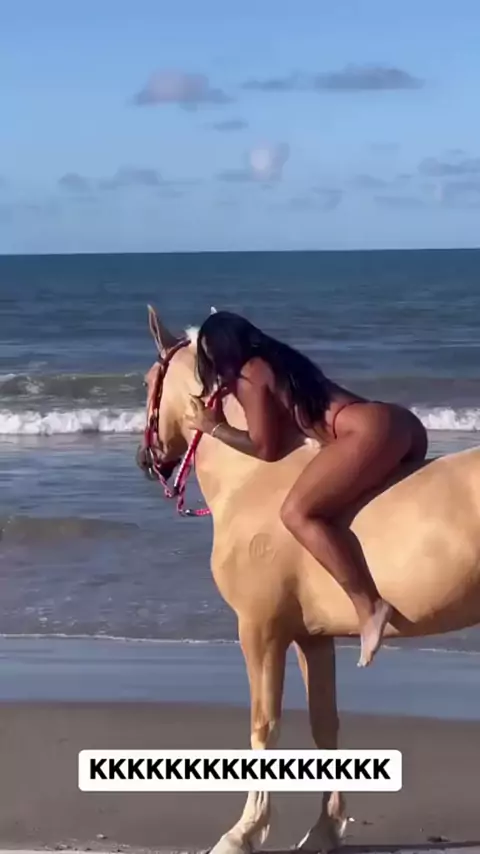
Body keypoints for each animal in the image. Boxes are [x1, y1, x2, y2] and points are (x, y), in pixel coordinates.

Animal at [138, 305, 480, 854]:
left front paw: (243, 831)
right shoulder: (310, 638)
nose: (145, 462)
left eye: (148, 381)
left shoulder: (260, 632)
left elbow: (264, 727)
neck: (253, 479)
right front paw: (324, 829)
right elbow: (325, 727)